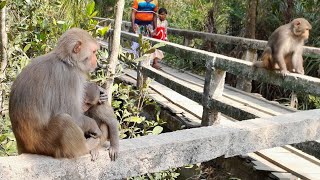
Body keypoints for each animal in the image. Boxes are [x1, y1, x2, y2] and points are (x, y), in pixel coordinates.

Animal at [9, 27, 102, 158]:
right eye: (94, 52)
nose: (97, 62)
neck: (67, 62)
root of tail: (24, 147)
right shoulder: (70, 78)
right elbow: (73, 115)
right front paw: (94, 126)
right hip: (44, 144)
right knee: (64, 120)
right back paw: (85, 147)